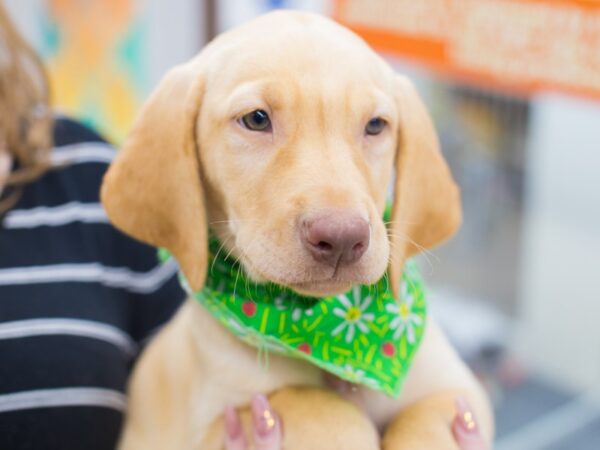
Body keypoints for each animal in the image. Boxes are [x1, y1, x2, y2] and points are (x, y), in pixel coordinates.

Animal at [102, 10, 492, 450]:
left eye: (376, 125)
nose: (341, 238)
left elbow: (423, 422)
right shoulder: (217, 425)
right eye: (256, 119)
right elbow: (314, 404)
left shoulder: (459, 394)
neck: (331, 331)